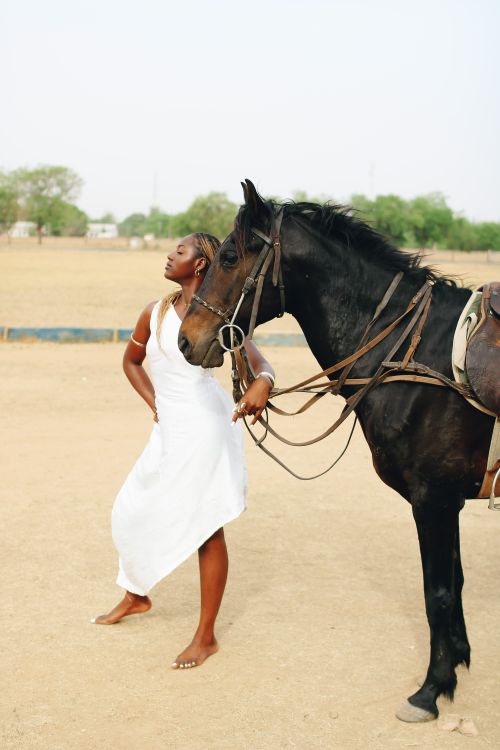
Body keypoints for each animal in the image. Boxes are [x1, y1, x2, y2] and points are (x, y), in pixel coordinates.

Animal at [178, 179, 494, 722]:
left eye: (230, 256)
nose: (185, 339)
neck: (414, 351)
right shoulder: (446, 501)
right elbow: (454, 585)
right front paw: (457, 663)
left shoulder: (433, 499)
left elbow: (437, 592)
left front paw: (431, 689)